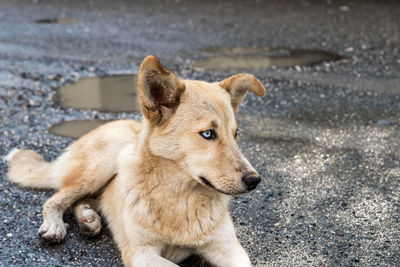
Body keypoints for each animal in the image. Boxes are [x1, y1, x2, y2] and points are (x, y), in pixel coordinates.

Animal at [5, 55, 266, 266]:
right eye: (208, 134)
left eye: (236, 134)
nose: (254, 180)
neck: (180, 197)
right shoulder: (141, 254)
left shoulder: (230, 250)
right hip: (104, 162)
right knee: (56, 199)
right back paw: (55, 225)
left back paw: (89, 218)